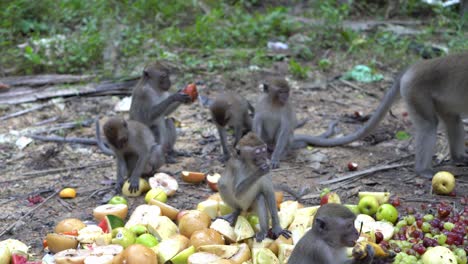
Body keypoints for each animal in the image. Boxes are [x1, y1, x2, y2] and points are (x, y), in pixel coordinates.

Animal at [292, 52, 468, 178]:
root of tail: (417, 65)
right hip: (415, 91)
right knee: (428, 124)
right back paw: (423, 170)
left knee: (453, 120)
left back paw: (458, 158)